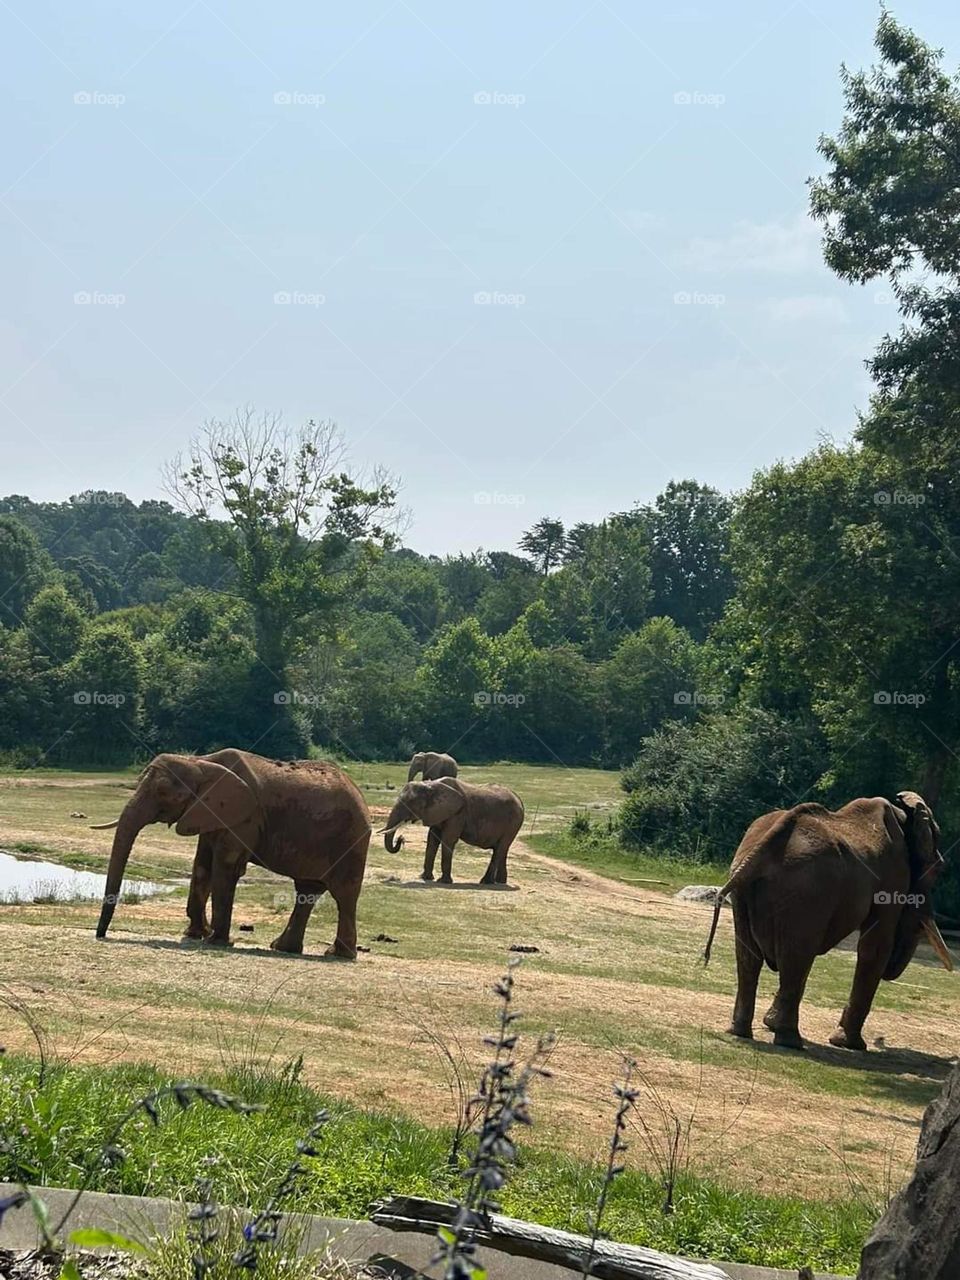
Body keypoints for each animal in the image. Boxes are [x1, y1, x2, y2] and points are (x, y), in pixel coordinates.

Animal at [90, 749, 371, 957]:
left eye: (162, 793)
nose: (100, 934)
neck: (200, 762)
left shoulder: (243, 818)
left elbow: (226, 867)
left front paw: (216, 940)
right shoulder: (207, 814)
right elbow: (202, 865)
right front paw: (195, 934)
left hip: (350, 841)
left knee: (343, 894)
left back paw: (337, 954)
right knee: (308, 890)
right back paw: (283, 948)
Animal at [382, 778, 523, 885]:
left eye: (410, 803)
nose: (401, 838)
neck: (432, 786)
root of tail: (519, 800)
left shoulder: (458, 814)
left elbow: (448, 840)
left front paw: (443, 881)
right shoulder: (437, 812)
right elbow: (432, 840)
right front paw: (425, 877)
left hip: (513, 823)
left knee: (499, 849)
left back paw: (486, 882)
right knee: (502, 850)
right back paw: (500, 882)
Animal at [703, 791, 954, 1051]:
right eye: (939, 869)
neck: (904, 813)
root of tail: (763, 850)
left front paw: (770, 1024)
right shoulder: (894, 875)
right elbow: (875, 947)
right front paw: (851, 1045)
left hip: (745, 890)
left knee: (750, 958)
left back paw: (742, 1032)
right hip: (807, 892)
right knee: (798, 956)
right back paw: (791, 1041)